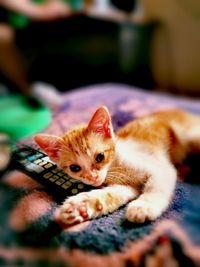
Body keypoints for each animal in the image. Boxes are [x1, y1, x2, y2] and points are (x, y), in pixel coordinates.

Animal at [34, 107, 200, 226]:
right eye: (75, 168)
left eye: (100, 157)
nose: (92, 178)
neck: (117, 164)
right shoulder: (127, 186)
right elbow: (113, 193)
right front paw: (82, 206)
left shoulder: (161, 168)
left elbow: (155, 187)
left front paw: (143, 206)